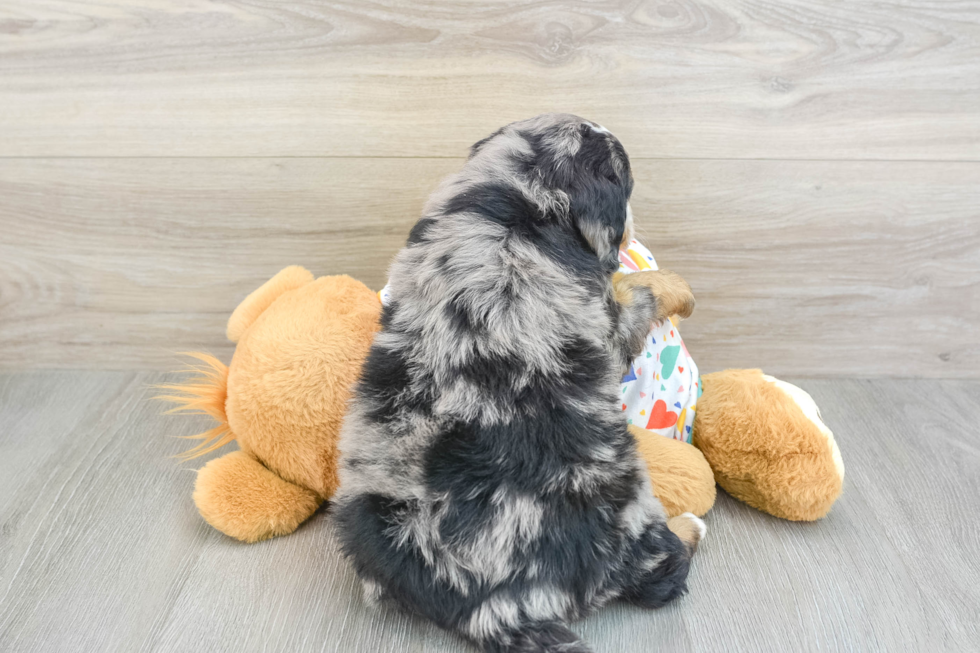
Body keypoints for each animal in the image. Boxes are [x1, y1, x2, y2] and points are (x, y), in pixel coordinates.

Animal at [334, 114, 704, 648]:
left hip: (363, 519)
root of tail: (489, 606)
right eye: (627, 182)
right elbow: (639, 289)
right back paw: (690, 527)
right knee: (658, 569)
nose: (633, 228)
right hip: (625, 502)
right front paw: (677, 286)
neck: (515, 200)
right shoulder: (608, 328)